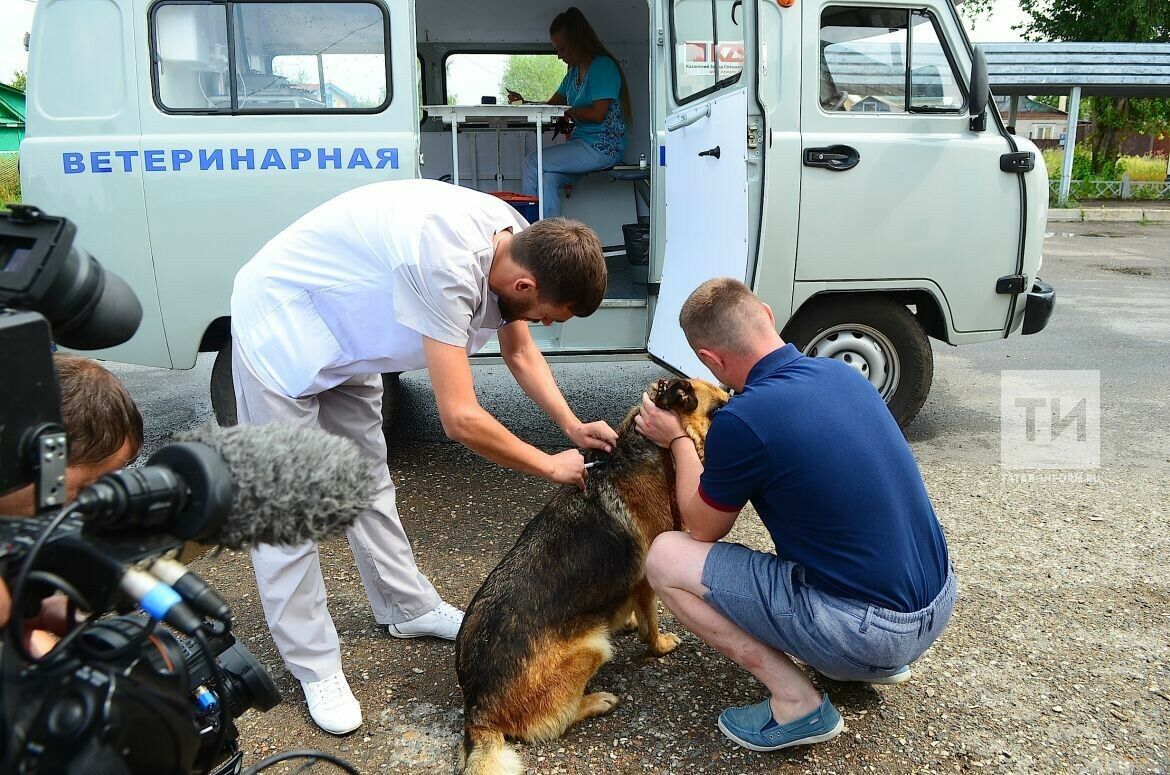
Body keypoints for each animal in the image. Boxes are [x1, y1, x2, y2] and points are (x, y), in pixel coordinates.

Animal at [456, 376, 730, 772]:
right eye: (719, 409)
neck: (649, 449)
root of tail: (477, 713)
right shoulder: (646, 581)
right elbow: (650, 623)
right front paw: (658, 644)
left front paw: (626, 620)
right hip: (594, 648)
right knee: (555, 723)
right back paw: (596, 701)